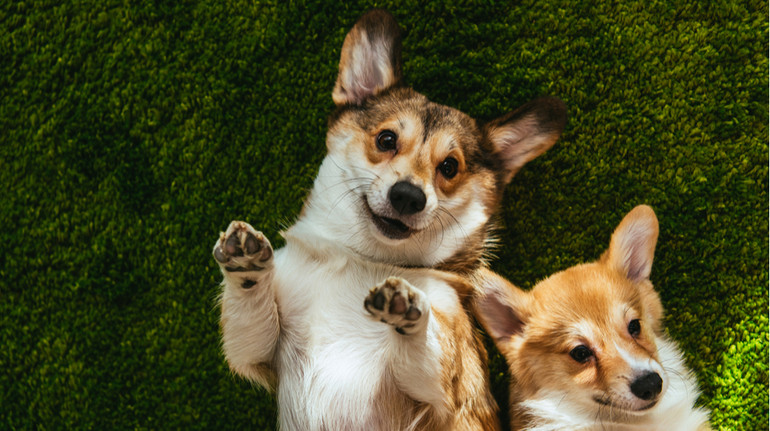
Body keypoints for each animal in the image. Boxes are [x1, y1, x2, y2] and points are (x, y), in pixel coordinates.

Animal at [210, 7, 564, 431]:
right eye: (386, 140)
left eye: (450, 167)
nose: (408, 195)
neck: (364, 259)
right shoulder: (261, 351)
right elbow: (250, 317)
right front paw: (244, 263)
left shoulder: (440, 385)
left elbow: (423, 352)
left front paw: (406, 309)